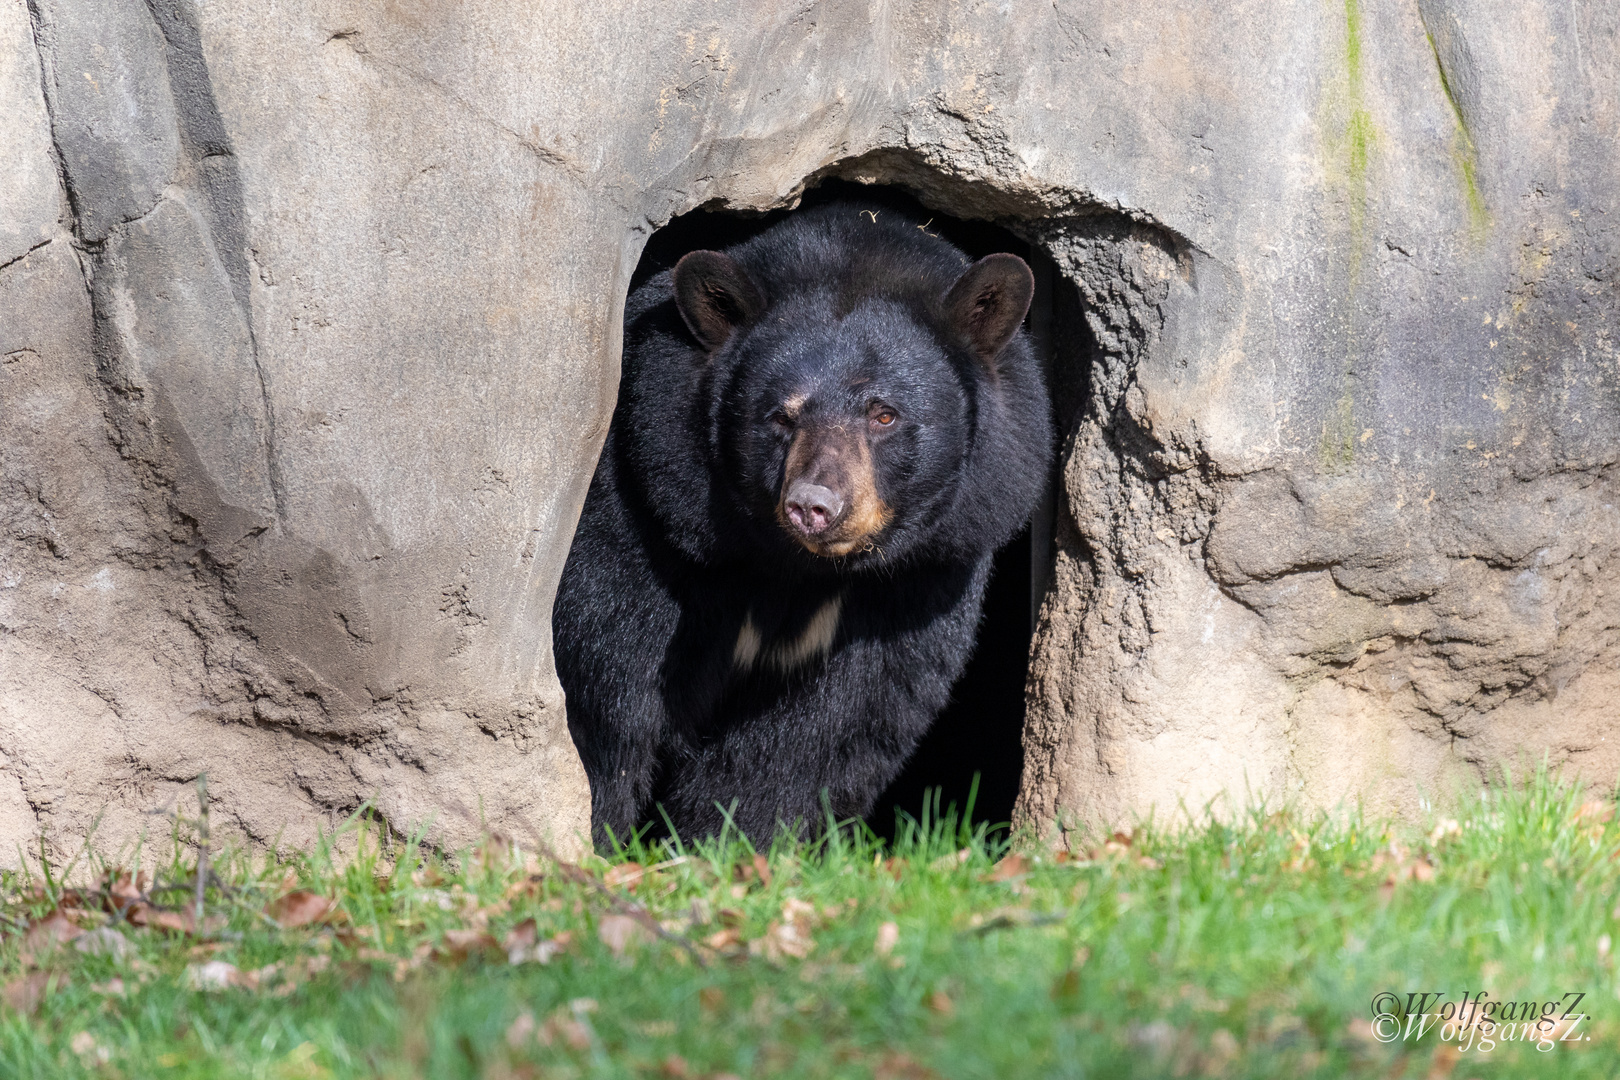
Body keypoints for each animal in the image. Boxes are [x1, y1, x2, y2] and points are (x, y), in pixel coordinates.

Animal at [554, 200, 1049, 841]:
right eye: (781, 417)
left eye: (884, 415)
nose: (814, 506)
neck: (795, 570)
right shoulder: (645, 511)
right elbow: (610, 681)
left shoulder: (921, 581)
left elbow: (828, 729)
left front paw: (733, 839)